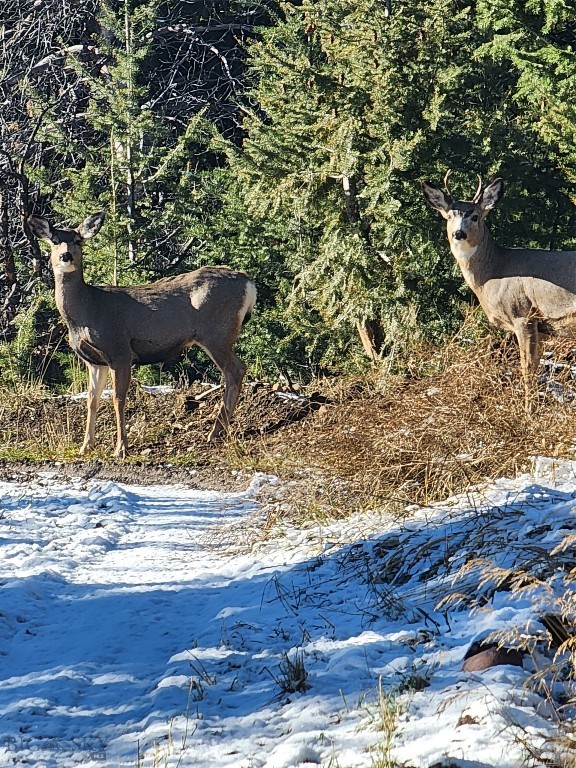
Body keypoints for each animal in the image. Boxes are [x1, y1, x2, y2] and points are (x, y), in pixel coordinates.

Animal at [27, 210, 256, 456]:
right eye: (54, 240)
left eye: (78, 241)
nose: (66, 256)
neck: (87, 311)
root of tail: (248, 282)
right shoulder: (95, 361)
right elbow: (92, 399)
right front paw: (85, 446)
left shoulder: (119, 350)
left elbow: (118, 398)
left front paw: (120, 448)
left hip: (216, 333)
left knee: (236, 370)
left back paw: (215, 433)